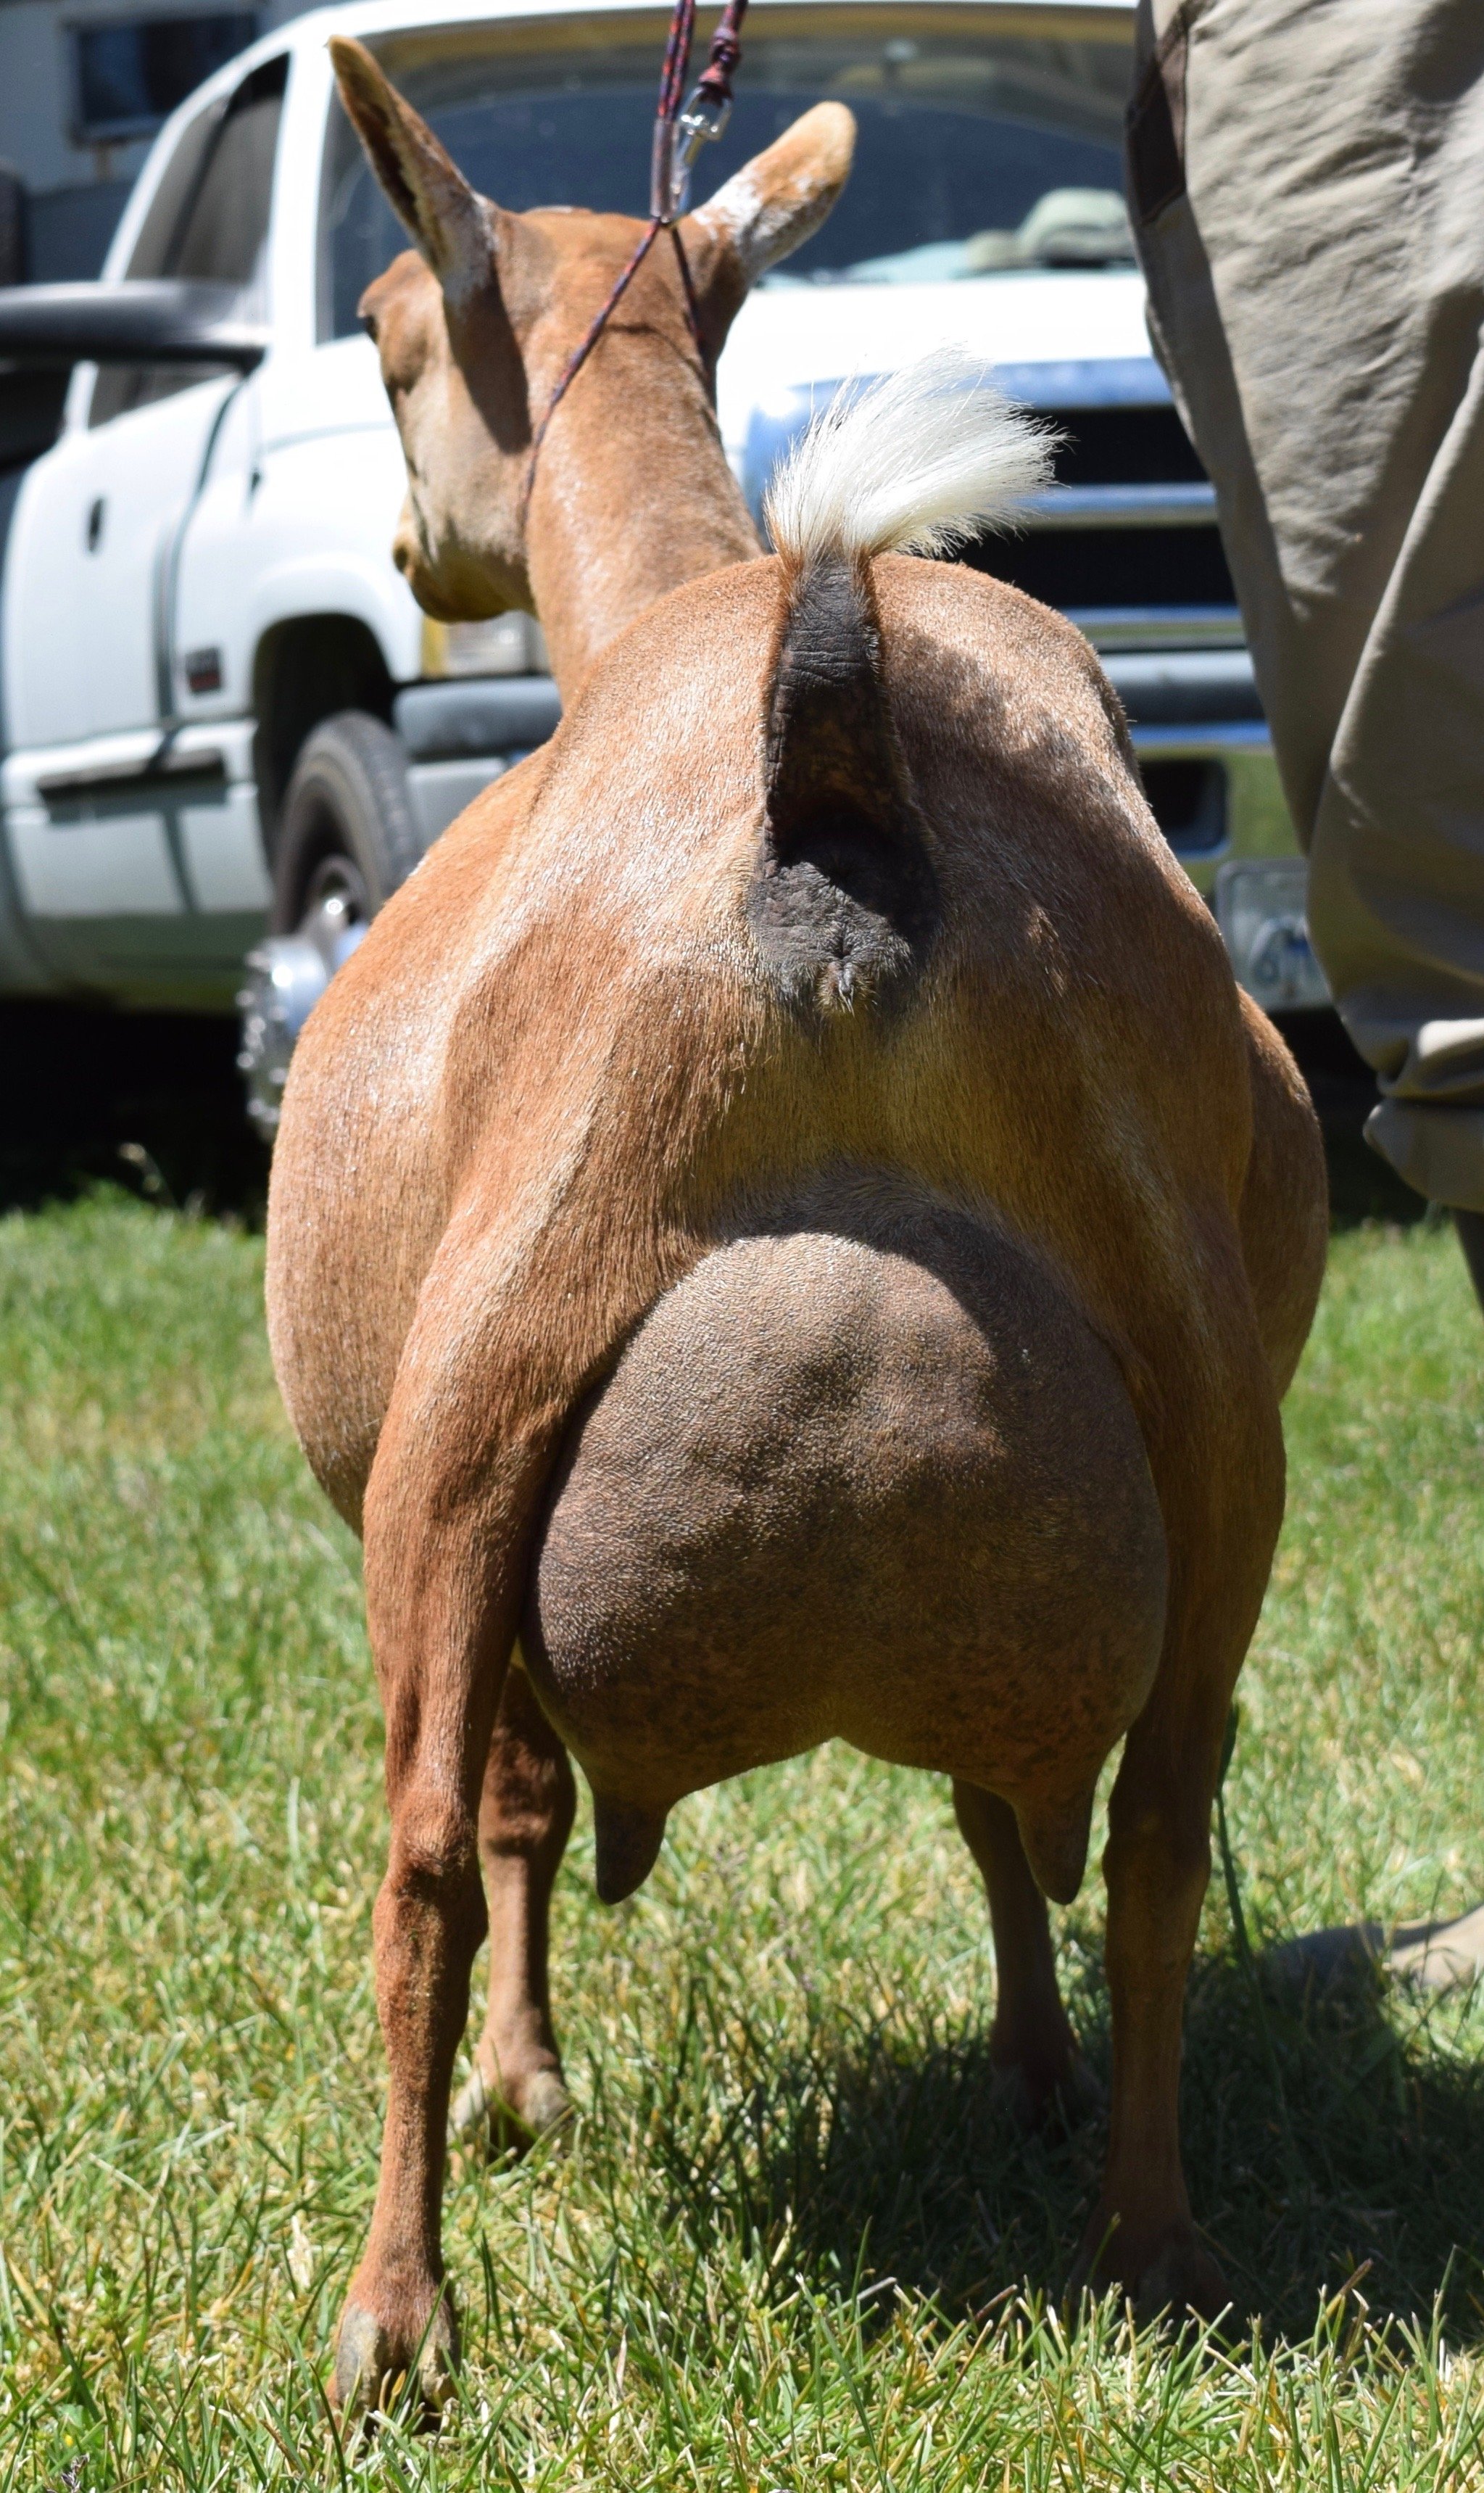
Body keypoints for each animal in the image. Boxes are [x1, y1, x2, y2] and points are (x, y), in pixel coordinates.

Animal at [270, 38, 1337, 2413]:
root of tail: (827, 752)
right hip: (1200, 1412)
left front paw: (530, 2096)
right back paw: (1147, 2232)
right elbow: (992, 1792)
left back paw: (395, 2316)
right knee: (1148, 1818)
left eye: (385, 344)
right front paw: (1023, 2069)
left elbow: (508, 1805)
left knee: (423, 1848)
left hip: (478, 1394)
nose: (407, 550)